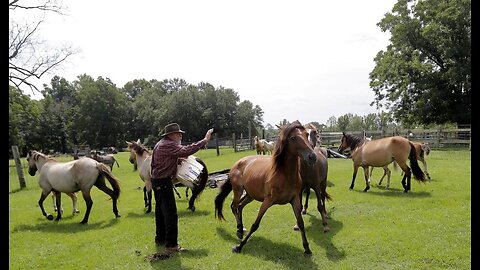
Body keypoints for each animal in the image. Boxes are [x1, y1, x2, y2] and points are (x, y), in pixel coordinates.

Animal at [215, 120, 318, 255]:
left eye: (306, 134)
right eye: (293, 138)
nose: (312, 157)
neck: (284, 175)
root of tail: (237, 163)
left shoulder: (295, 200)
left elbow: (301, 223)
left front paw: (307, 248)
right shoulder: (267, 201)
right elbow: (255, 224)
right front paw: (238, 247)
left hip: (250, 195)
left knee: (240, 206)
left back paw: (241, 229)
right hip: (238, 190)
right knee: (234, 206)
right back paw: (239, 230)